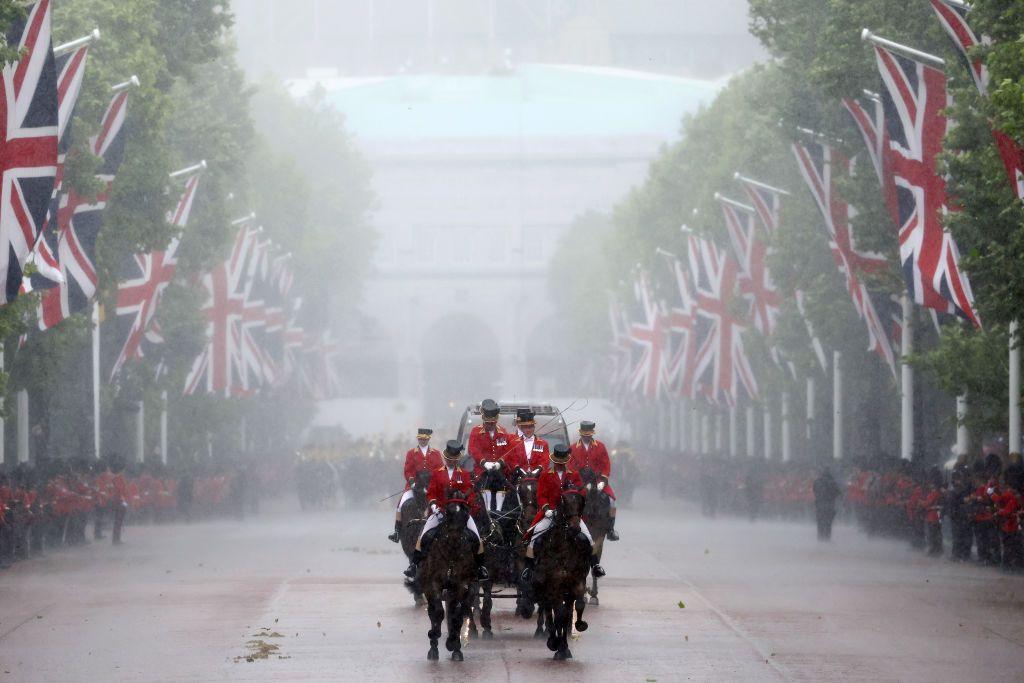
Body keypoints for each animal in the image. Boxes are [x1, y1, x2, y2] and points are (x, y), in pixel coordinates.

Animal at [417, 497, 477, 663]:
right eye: (448, 514)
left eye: (465, 516)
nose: (455, 541)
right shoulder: (433, 584)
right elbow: (437, 612)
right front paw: (434, 638)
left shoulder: (461, 585)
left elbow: (456, 614)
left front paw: (453, 644)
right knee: (433, 611)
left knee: (456, 611)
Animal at [532, 489, 589, 659]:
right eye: (564, 502)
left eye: (581, 502)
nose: (575, 529)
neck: (563, 548)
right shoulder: (554, 586)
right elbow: (559, 615)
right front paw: (556, 644)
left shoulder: (577, 582)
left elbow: (577, 606)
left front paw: (579, 625)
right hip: (545, 589)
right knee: (550, 611)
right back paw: (552, 640)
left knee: (565, 612)